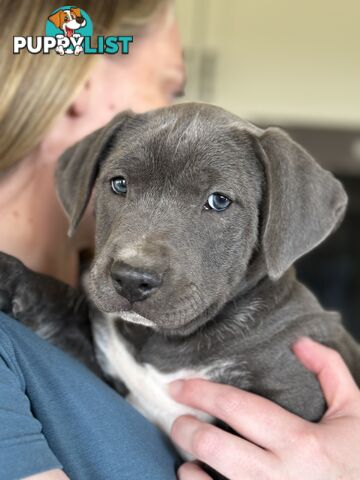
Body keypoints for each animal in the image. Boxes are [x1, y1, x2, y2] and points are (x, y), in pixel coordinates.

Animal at [0, 102, 360, 468]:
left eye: (219, 201)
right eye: (119, 184)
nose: (132, 278)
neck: (165, 342)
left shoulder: (294, 394)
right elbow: (58, 307)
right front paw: (7, 276)